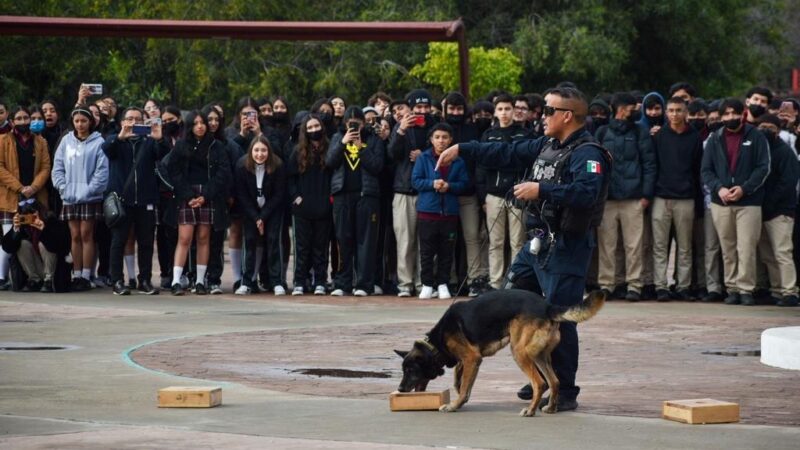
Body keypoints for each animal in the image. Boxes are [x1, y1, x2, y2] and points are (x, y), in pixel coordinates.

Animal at [394, 288, 608, 414]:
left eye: (410, 371)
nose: (400, 390)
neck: (436, 344)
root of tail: (547, 306)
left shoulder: (472, 358)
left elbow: (462, 385)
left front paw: (455, 405)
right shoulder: (469, 360)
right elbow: (460, 380)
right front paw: (461, 396)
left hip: (519, 352)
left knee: (540, 383)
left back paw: (530, 411)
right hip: (539, 356)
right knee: (554, 381)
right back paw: (550, 408)